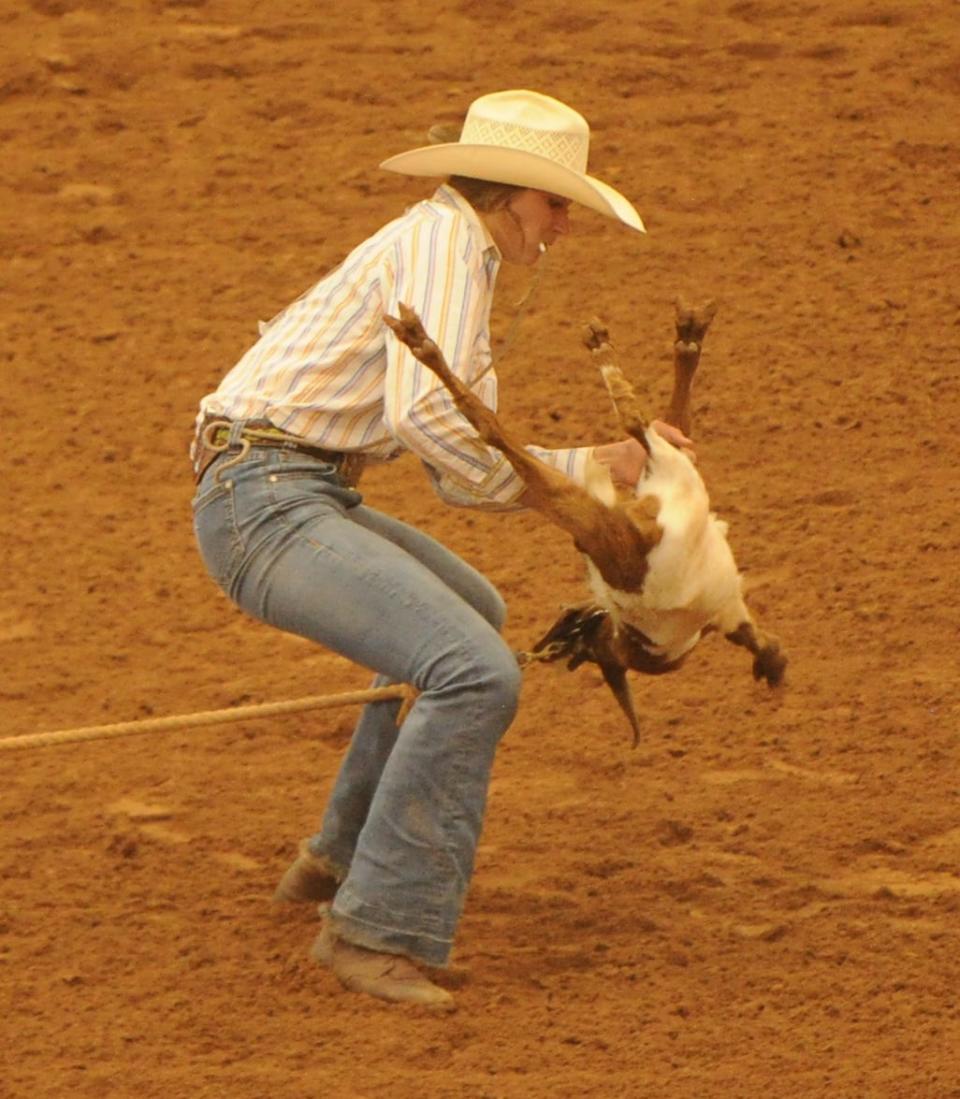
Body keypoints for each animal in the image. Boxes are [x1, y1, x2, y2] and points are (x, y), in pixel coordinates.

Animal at [384, 296, 786, 742]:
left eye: (582, 650)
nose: (550, 642)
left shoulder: (600, 523)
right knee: (643, 425)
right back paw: (672, 339)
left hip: (588, 512)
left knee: (503, 429)